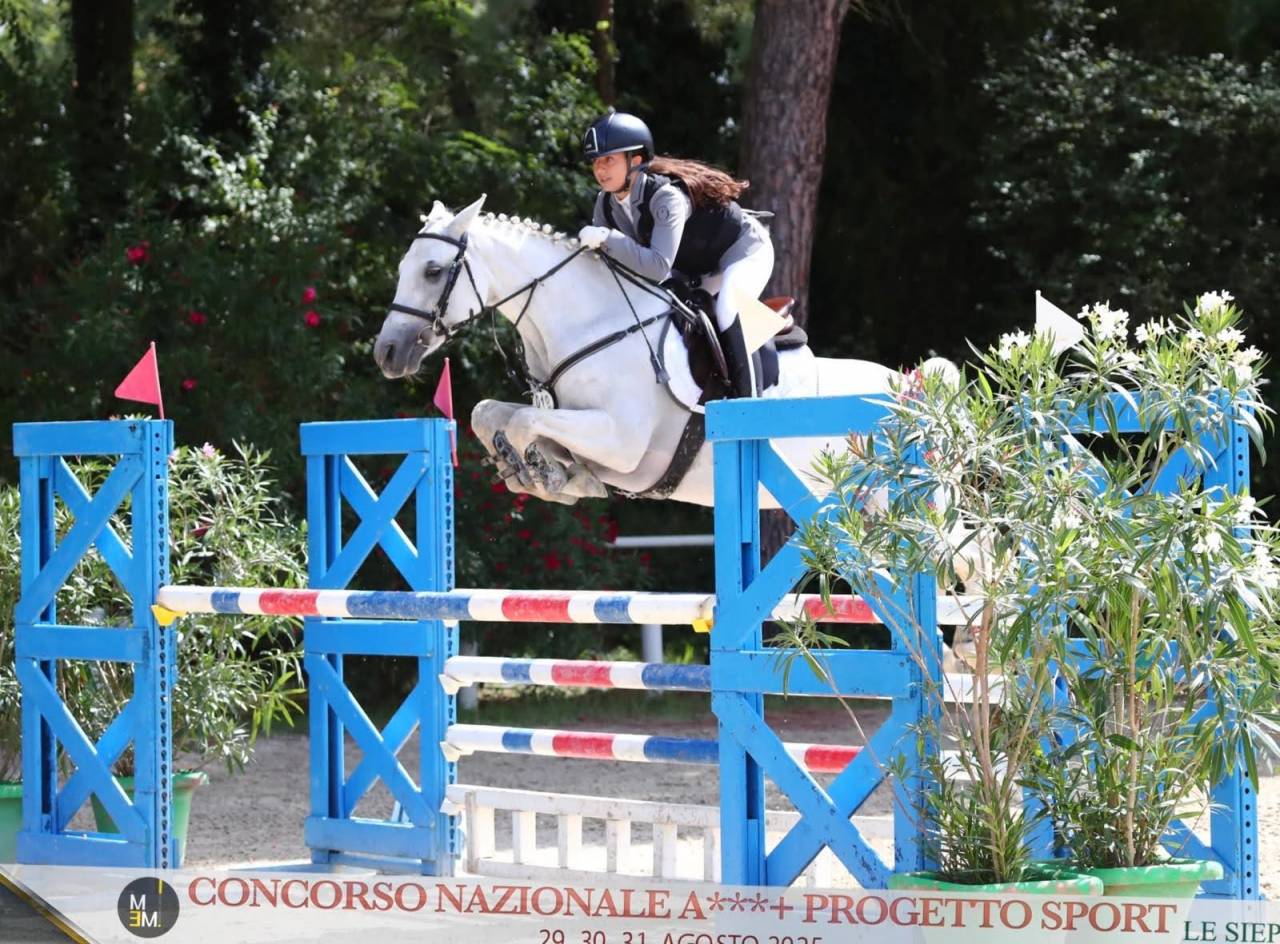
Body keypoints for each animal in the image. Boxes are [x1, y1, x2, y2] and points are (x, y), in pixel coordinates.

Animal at [374, 195, 957, 510]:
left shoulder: (621, 441)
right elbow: (487, 412)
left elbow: (520, 421)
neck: (592, 322)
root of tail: (916, 390)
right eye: (402, 268)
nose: (387, 352)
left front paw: (546, 472)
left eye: (433, 271)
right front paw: (546, 472)